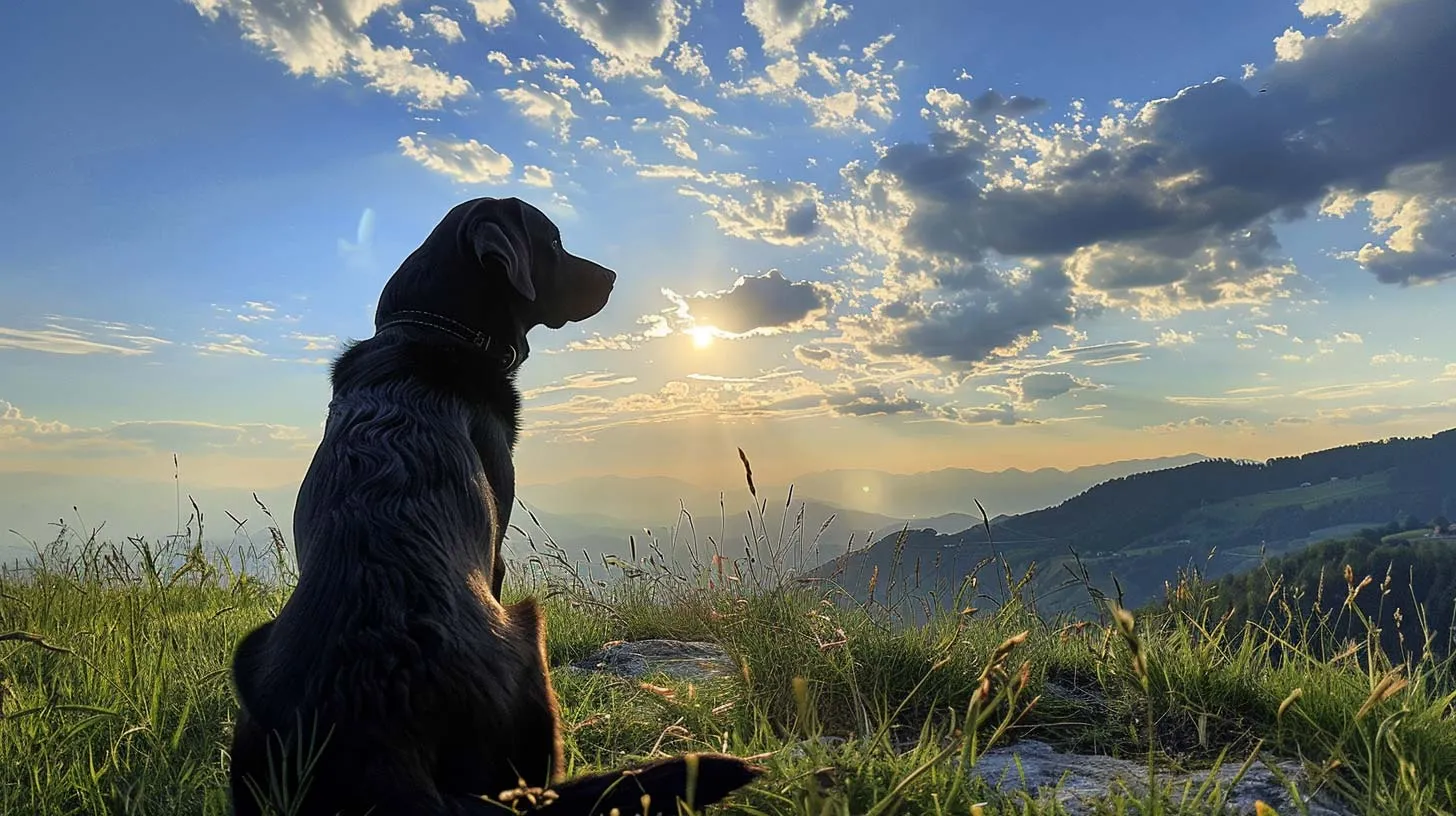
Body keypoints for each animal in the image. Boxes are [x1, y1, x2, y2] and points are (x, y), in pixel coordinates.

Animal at [227, 199, 762, 816]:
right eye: (552, 242)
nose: (611, 277)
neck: (430, 328)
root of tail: (380, 731)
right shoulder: (498, 550)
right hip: (529, 636)